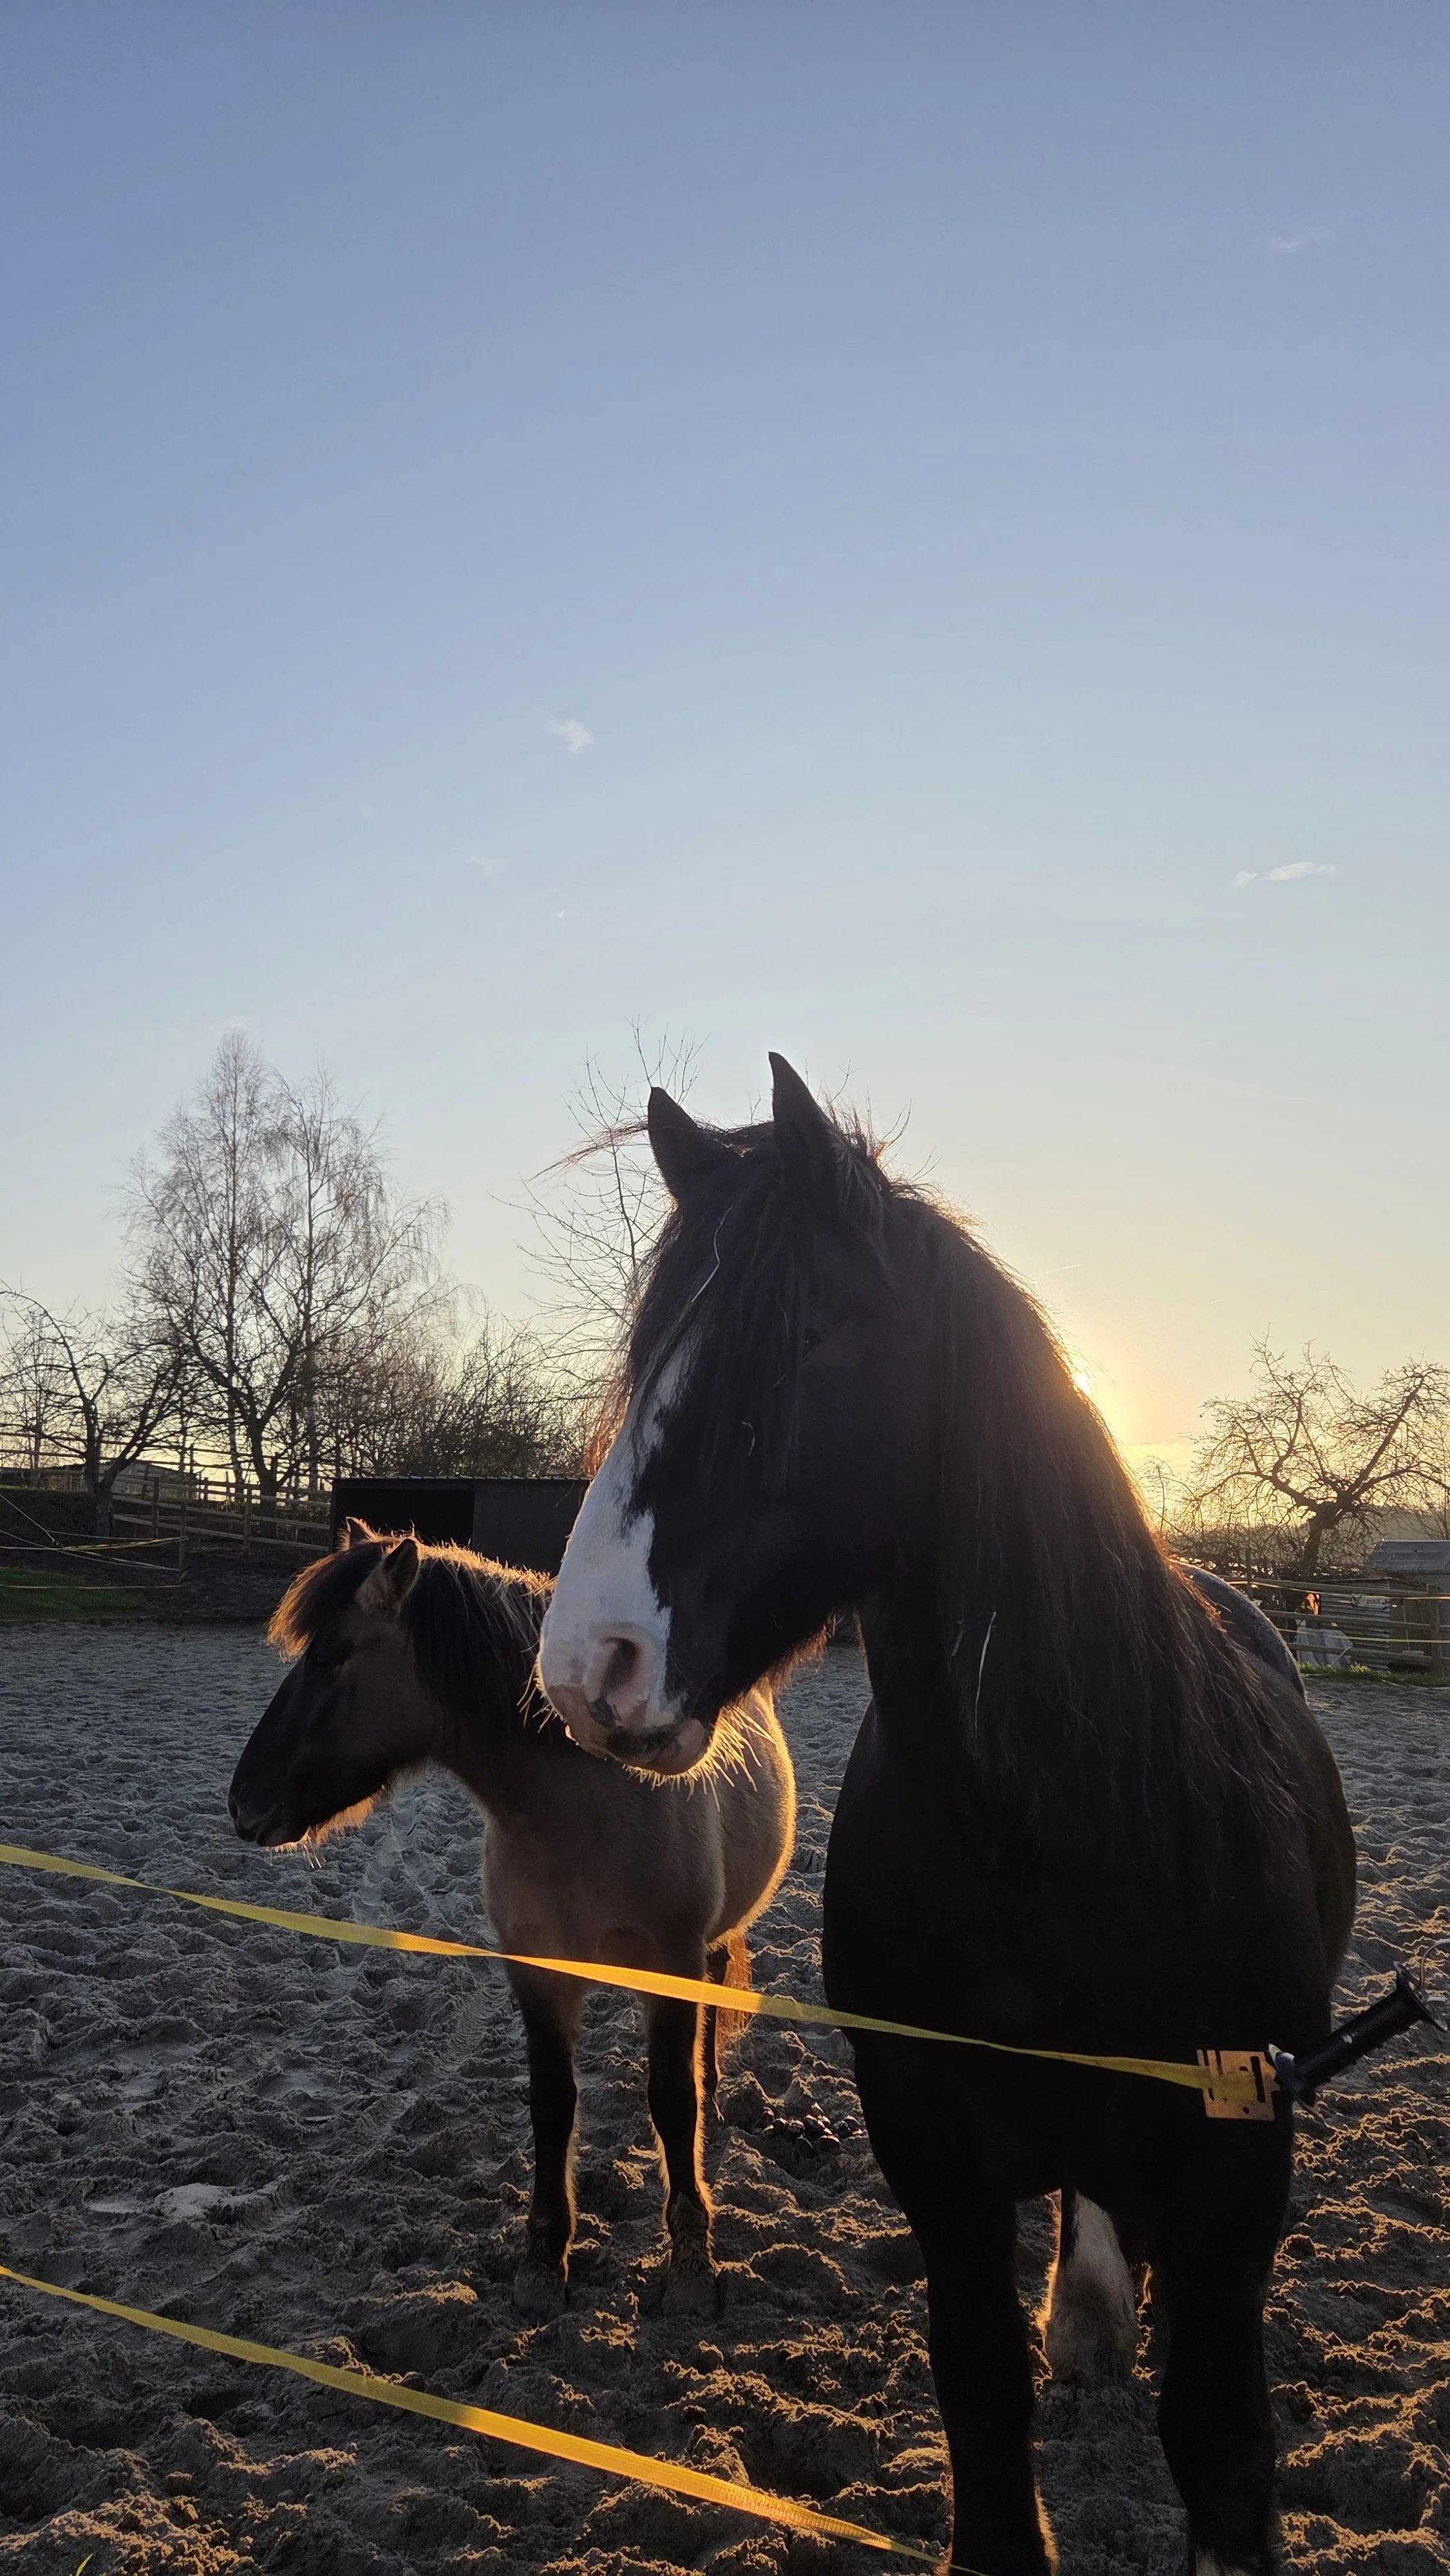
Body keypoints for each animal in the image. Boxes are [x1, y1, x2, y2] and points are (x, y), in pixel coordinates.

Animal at [227, 1521, 795, 2316]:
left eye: (330, 1657)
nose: (242, 1802)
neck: (589, 1808)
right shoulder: (537, 1971)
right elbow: (553, 2104)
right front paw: (544, 2258)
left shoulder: (670, 1961)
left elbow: (672, 2101)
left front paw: (689, 2263)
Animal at [537, 1055, 1357, 2576]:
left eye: (792, 1345)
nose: (586, 1667)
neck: (1053, 1856)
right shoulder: (934, 2156)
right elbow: (981, 2403)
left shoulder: (1230, 2175)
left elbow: (1222, 2446)